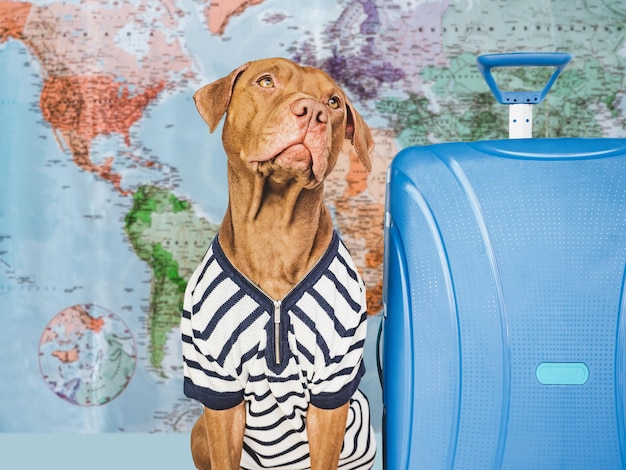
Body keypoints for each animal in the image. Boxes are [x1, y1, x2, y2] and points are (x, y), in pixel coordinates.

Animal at [182, 58, 376, 470]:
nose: (314, 112)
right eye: (266, 81)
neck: (273, 232)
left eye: (334, 102)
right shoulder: (216, 387)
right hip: (198, 432)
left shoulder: (333, 387)